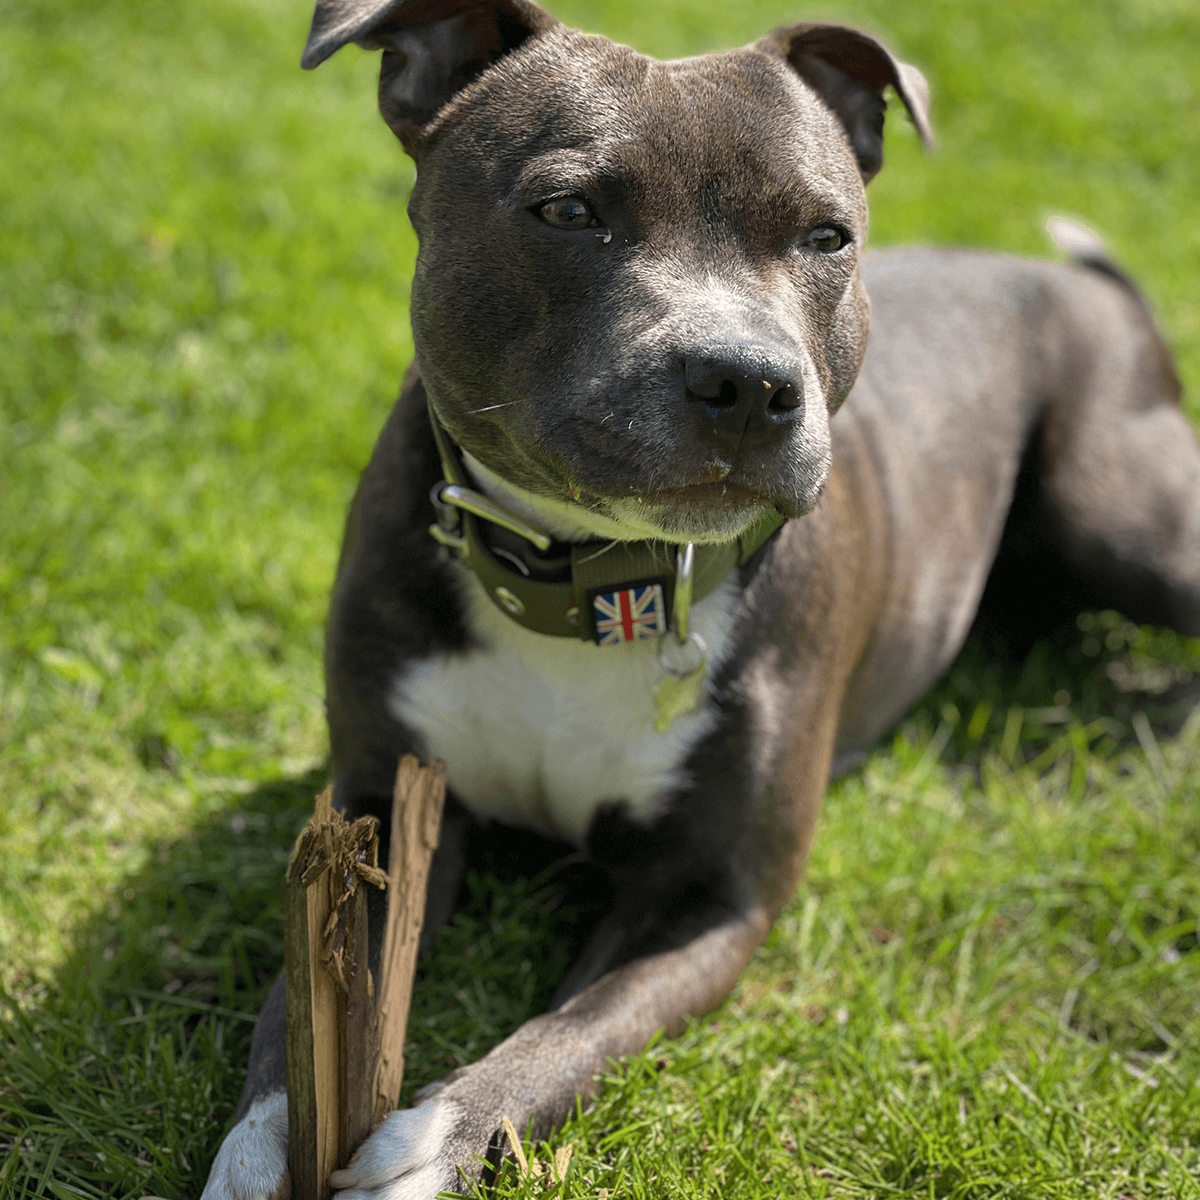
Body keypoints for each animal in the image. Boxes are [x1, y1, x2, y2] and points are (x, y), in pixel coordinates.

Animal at [196, 2, 1200, 1200]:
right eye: (567, 210)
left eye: (827, 238)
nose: (750, 382)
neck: (592, 584)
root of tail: (1090, 289)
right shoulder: (375, 812)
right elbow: (290, 1022)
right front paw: (260, 1155)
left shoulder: (707, 902)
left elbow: (564, 1039)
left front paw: (426, 1144)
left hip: (1121, 511)